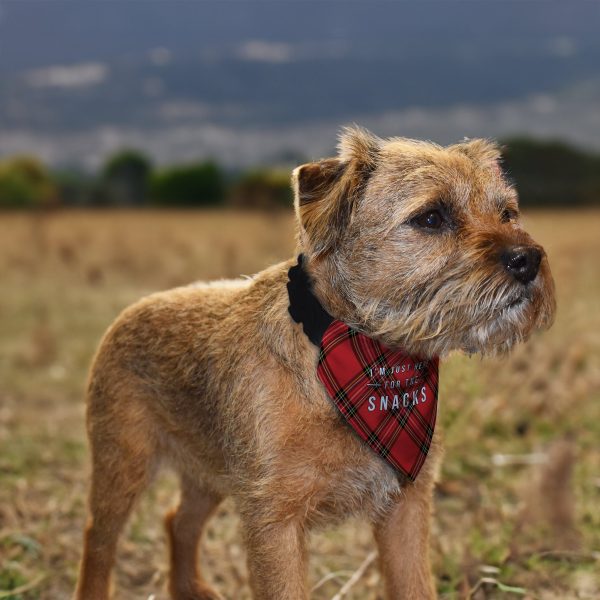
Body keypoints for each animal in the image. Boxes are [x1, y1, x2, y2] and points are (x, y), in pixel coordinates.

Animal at [72, 124, 556, 596]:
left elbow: (414, 586)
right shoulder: (274, 522)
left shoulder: (405, 508)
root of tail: (130, 312)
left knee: (178, 521)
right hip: (123, 465)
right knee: (98, 538)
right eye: (432, 217)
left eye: (508, 213)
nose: (527, 259)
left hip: (207, 473)